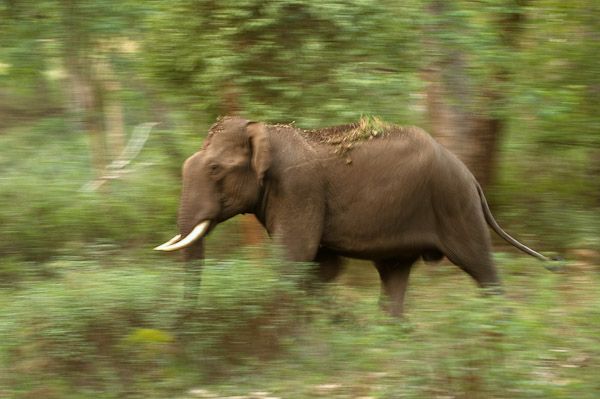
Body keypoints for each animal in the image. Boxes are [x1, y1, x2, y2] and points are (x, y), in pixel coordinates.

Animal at [156, 115, 552, 318]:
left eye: (215, 169)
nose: (184, 320)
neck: (263, 128)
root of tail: (470, 176)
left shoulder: (299, 188)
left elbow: (293, 259)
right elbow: (321, 265)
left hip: (455, 205)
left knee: (481, 266)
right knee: (394, 276)